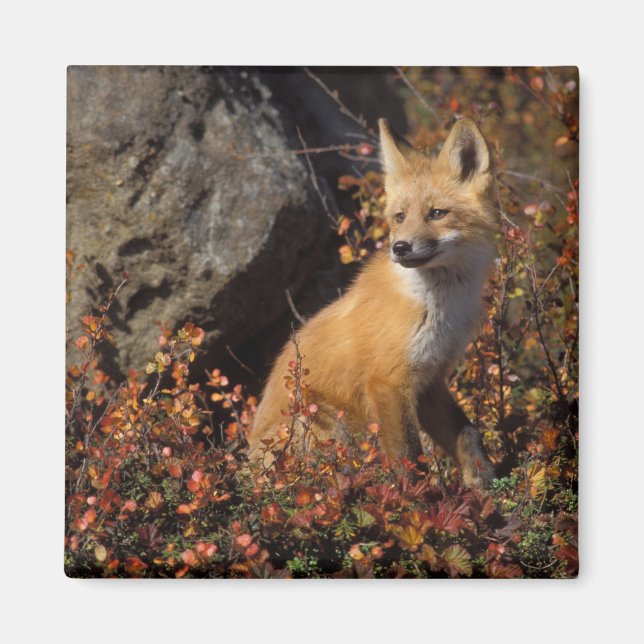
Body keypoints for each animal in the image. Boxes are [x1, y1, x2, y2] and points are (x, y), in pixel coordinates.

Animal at [248, 117, 497, 488]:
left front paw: (485, 482)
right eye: (399, 217)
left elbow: (467, 434)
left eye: (437, 213)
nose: (400, 248)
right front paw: (421, 499)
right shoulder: (387, 382)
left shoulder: (430, 380)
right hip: (325, 420)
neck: (439, 308)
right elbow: (410, 459)